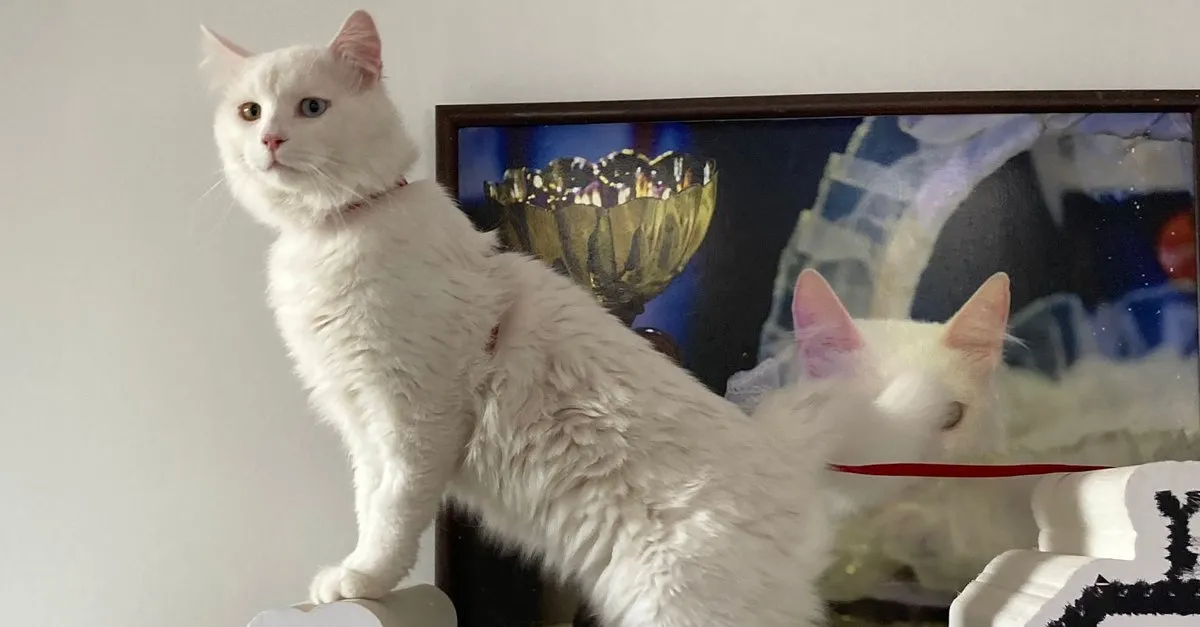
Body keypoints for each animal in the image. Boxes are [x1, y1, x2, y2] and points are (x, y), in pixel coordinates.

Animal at [198, 10, 1010, 625]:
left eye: (312, 108)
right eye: (249, 111)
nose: (269, 140)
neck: (332, 235)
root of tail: (779, 453)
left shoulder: (412, 415)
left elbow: (392, 513)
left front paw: (362, 581)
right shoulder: (361, 424)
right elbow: (370, 503)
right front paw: (361, 578)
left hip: (683, 606)